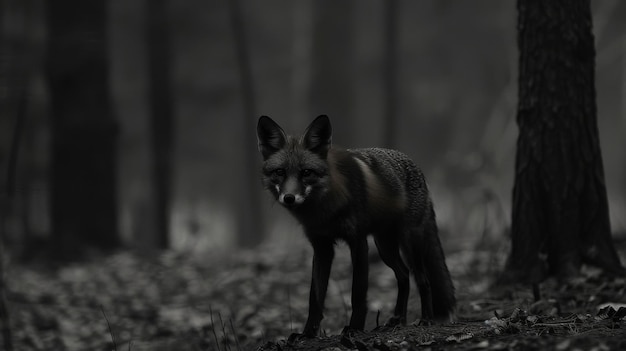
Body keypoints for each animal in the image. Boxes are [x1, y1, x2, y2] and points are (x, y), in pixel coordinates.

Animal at [256, 115, 456, 338]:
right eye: (280, 172)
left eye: (306, 172)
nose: (289, 198)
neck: (325, 210)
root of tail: (415, 166)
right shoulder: (322, 247)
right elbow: (315, 298)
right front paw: (308, 334)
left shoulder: (358, 242)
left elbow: (358, 294)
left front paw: (354, 328)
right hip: (385, 248)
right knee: (404, 276)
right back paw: (398, 320)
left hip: (409, 243)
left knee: (423, 280)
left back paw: (426, 319)